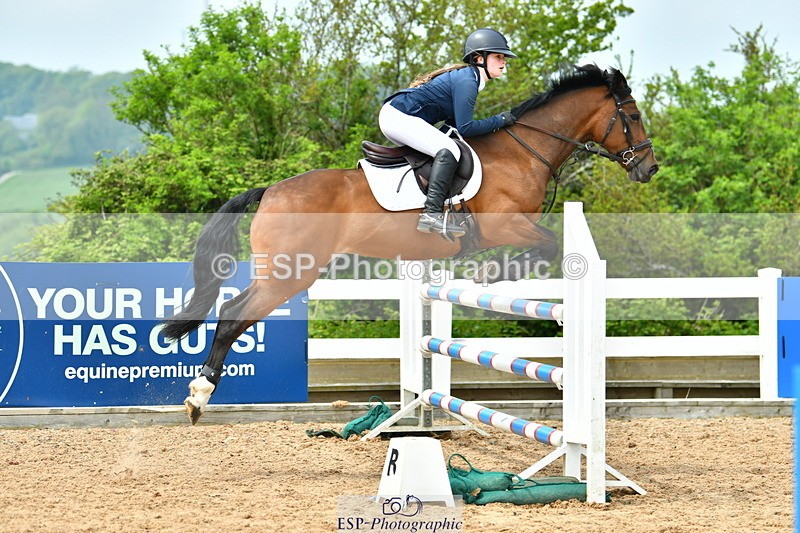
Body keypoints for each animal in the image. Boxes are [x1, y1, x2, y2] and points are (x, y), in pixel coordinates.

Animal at [161, 64, 659, 424]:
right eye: (633, 116)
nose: (649, 169)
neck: (524, 150)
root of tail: (270, 191)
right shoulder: (504, 226)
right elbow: (549, 246)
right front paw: (490, 273)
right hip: (291, 272)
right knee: (233, 316)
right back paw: (199, 397)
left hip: (283, 270)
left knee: (232, 308)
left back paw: (199, 394)